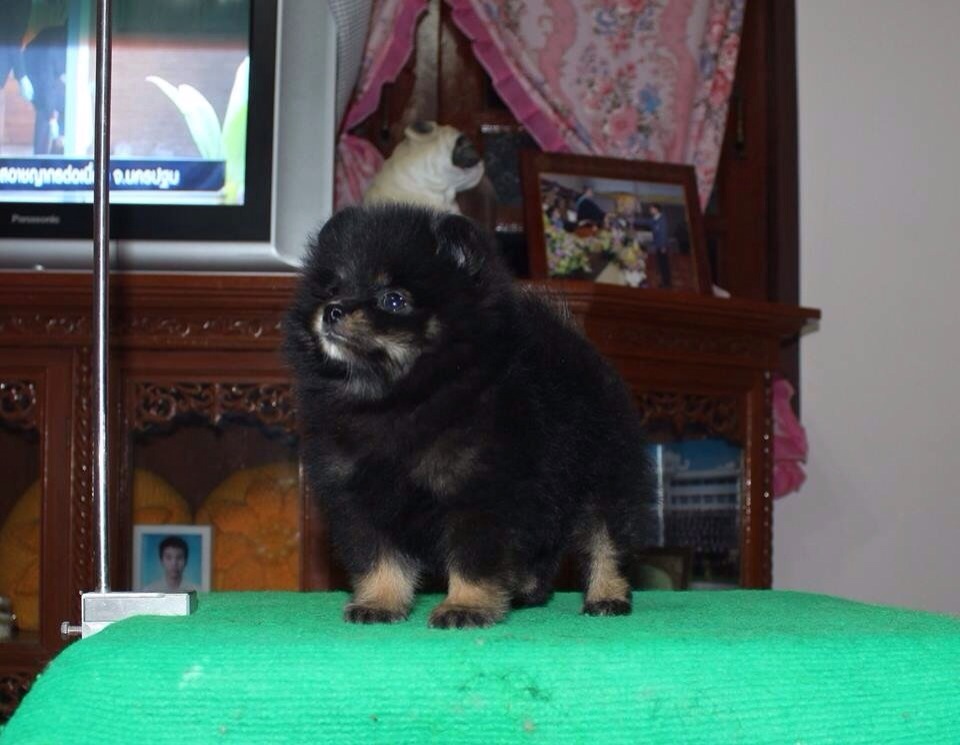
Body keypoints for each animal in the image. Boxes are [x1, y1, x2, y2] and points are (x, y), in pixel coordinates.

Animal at [284, 204, 653, 628]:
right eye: (332, 289)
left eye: (393, 300)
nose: (333, 310)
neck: (399, 398)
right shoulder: (358, 497)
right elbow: (377, 556)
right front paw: (380, 601)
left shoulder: (481, 493)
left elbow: (473, 557)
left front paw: (466, 605)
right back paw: (526, 587)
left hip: (605, 480)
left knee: (606, 541)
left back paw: (607, 596)